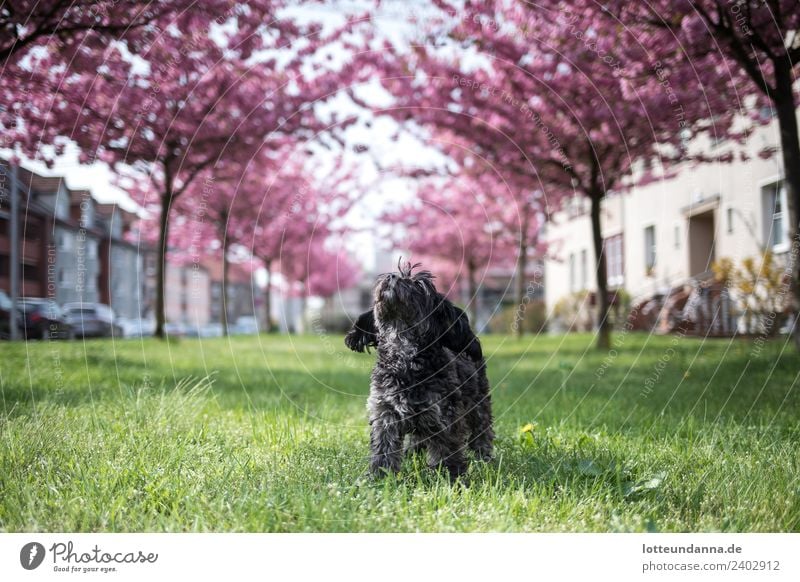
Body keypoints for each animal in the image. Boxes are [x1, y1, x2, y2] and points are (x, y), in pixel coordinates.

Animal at [346, 262, 494, 482]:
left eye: (417, 285)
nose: (390, 277)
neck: (403, 358)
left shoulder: (444, 416)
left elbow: (448, 450)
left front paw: (452, 479)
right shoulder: (385, 413)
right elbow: (383, 449)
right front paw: (379, 478)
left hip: (479, 405)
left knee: (481, 432)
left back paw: (485, 458)